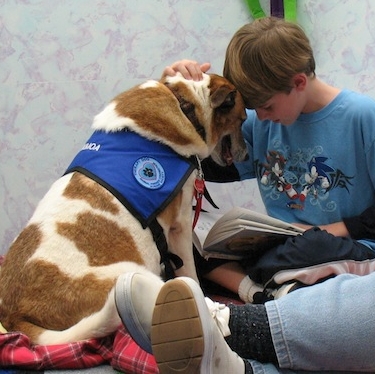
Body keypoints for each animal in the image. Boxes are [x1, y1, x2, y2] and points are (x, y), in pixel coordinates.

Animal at [0, 72, 247, 344]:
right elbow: (190, 272)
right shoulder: (180, 225)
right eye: (243, 120)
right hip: (134, 273)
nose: (247, 155)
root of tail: (13, 316)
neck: (183, 103)